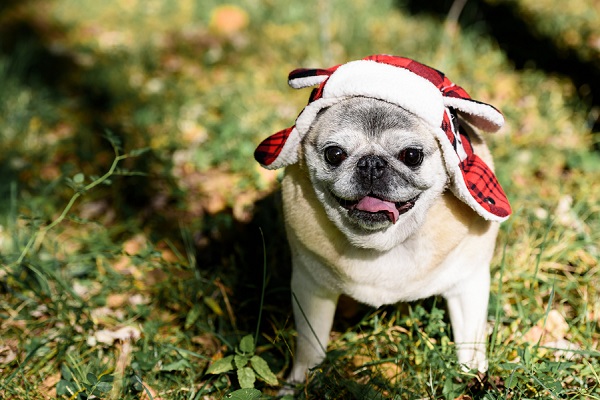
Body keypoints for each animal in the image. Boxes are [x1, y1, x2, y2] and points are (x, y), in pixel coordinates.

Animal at [253, 54, 510, 386]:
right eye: (334, 154)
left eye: (412, 155)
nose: (371, 163)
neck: (383, 244)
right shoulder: (311, 289)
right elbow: (310, 346)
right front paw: (301, 382)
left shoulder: (468, 284)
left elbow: (470, 342)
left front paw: (473, 376)